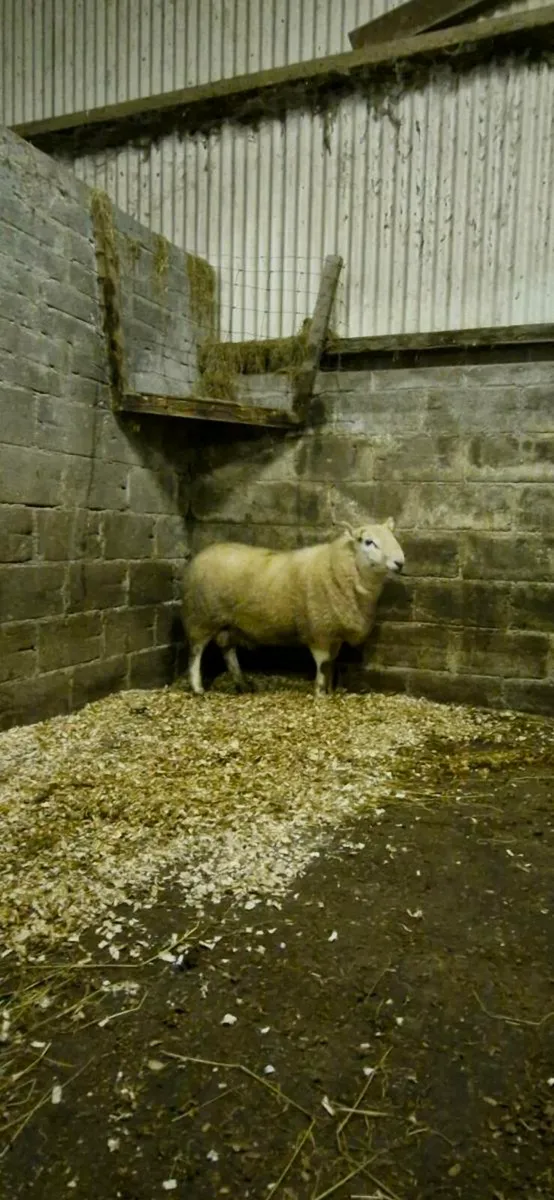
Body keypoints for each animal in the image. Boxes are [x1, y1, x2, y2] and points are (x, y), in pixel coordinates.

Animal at [183, 519, 405, 697]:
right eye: (369, 542)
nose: (400, 562)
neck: (340, 568)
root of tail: (202, 554)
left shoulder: (333, 632)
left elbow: (331, 664)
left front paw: (330, 691)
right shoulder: (318, 629)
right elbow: (322, 665)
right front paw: (320, 693)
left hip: (228, 622)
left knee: (227, 650)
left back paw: (242, 684)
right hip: (201, 617)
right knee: (196, 652)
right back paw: (197, 687)